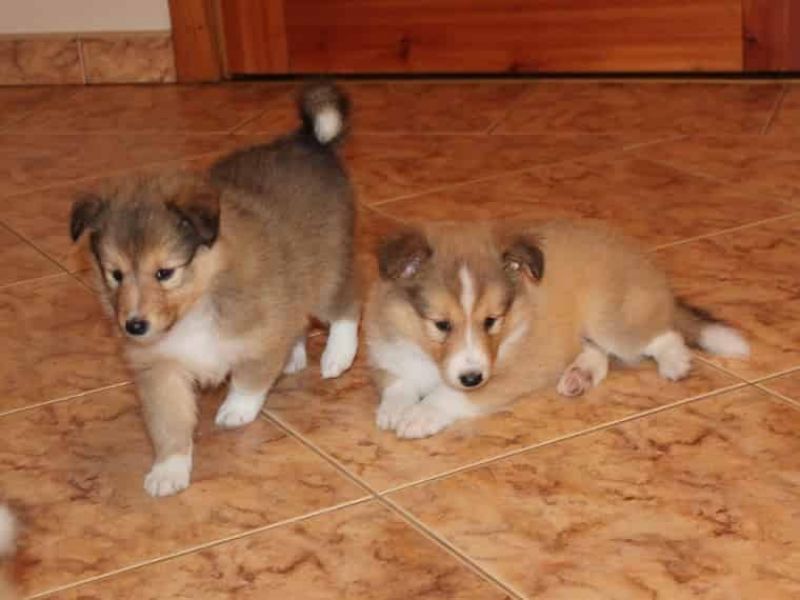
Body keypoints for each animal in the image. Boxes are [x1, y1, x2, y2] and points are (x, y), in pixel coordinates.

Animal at [72, 84, 360, 496]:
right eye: (115, 274)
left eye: (165, 272)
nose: (134, 326)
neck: (197, 303)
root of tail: (309, 140)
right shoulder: (160, 367)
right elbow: (169, 422)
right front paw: (169, 470)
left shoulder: (262, 326)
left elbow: (250, 375)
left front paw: (237, 409)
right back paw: (295, 356)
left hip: (326, 268)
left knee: (347, 302)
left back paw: (337, 356)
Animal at [364, 218, 752, 438]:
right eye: (441, 324)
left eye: (492, 320)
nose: (472, 377)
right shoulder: (390, 353)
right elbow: (398, 383)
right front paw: (394, 409)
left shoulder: (509, 374)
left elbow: (450, 395)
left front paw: (419, 416)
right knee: (597, 354)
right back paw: (578, 377)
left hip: (612, 319)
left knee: (662, 334)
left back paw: (675, 364)